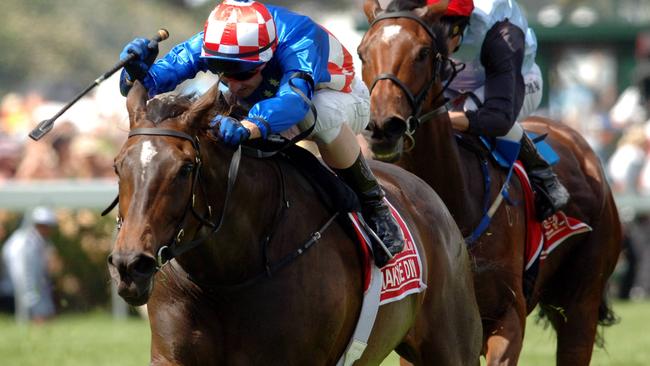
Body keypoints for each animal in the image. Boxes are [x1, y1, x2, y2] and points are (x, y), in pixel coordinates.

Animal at [106, 82, 480, 366]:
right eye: (117, 165)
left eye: (185, 169)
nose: (130, 265)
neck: (227, 277)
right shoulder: (173, 356)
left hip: (451, 347)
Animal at [360, 0, 624, 366]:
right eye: (362, 53)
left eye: (423, 52)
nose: (384, 127)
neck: (456, 200)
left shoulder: (507, 314)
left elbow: (499, 113)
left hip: (581, 298)